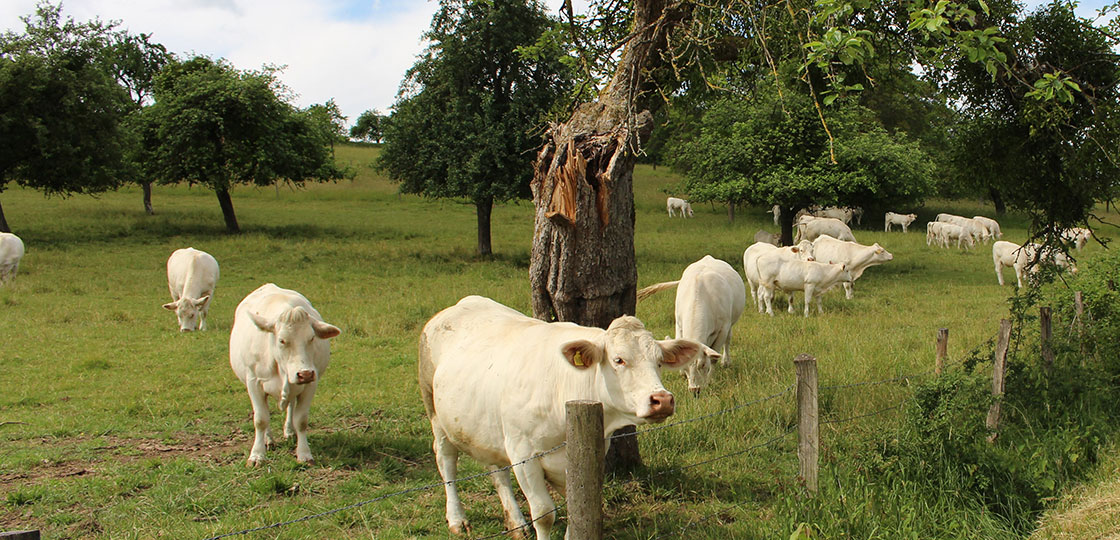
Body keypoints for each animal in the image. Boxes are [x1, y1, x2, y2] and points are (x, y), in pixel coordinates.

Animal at [230, 284, 341, 467]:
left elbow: (301, 420)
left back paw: (289, 431)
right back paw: (268, 440)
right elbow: (261, 419)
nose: (305, 373)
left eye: (312, 338)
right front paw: (257, 455)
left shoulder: (310, 384)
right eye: (282, 340)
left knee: (290, 406)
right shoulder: (254, 382)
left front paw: (304, 453)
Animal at [419, 296, 701, 539]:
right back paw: (457, 519)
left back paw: (516, 522)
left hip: (488, 427)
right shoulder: (523, 454)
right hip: (435, 412)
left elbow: (575, 505)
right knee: (446, 461)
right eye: (619, 360)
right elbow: (544, 514)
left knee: (497, 471)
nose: (662, 399)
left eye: (659, 362)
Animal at [635, 256, 745, 395]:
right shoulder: (678, 323)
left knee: (728, 341)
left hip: (731, 323)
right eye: (686, 367)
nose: (695, 390)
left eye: (702, 365)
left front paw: (710, 380)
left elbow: (714, 358)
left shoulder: (723, 328)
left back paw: (726, 362)